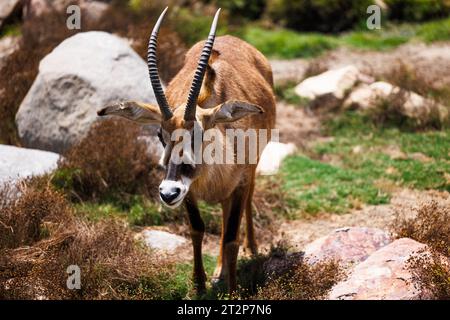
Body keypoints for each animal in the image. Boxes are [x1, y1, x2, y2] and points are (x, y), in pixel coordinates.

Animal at [96, 7, 276, 294]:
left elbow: (231, 239)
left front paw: (233, 290)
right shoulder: (187, 191)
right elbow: (197, 229)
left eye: (198, 134)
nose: (168, 193)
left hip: (252, 168)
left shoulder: (239, 182)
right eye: (160, 135)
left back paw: (251, 249)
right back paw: (218, 271)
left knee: (247, 202)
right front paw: (199, 285)